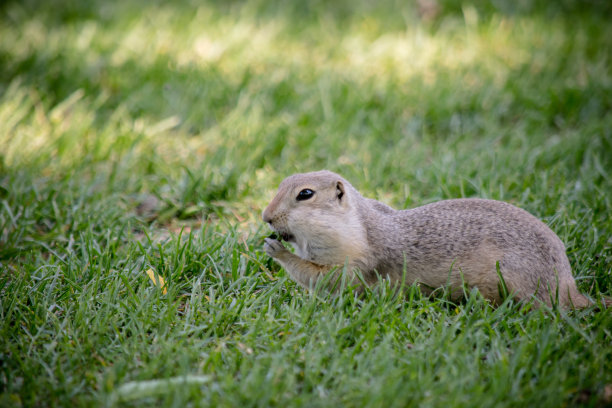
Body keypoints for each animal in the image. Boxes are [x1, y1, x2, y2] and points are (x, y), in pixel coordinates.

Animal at [262, 170, 608, 310]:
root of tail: (569, 287)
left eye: (305, 194)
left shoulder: (356, 259)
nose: (265, 217)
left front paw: (276, 249)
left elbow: (325, 277)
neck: (359, 225)